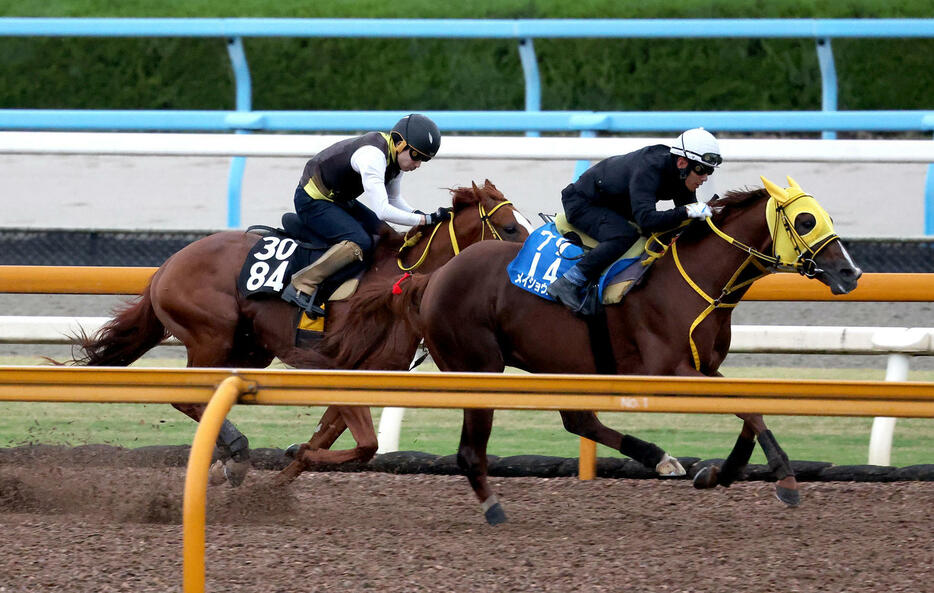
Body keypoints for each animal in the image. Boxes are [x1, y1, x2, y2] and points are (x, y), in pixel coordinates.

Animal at [73, 180, 532, 486]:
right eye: (510, 228)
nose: (527, 264)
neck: (400, 283)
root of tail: (165, 267)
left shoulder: (369, 377)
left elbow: (332, 439)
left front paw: (283, 476)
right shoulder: (347, 371)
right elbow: (365, 445)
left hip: (250, 349)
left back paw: (229, 458)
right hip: (211, 335)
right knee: (188, 395)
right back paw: (236, 451)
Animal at [372, 175, 864, 524]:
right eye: (805, 221)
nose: (851, 273)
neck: (696, 278)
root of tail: (432, 277)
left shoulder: (704, 368)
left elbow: (748, 407)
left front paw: (718, 474)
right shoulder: (665, 370)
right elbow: (750, 409)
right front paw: (786, 478)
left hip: (557, 363)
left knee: (578, 421)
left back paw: (661, 459)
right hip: (479, 366)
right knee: (471, 451)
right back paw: (494, 508)